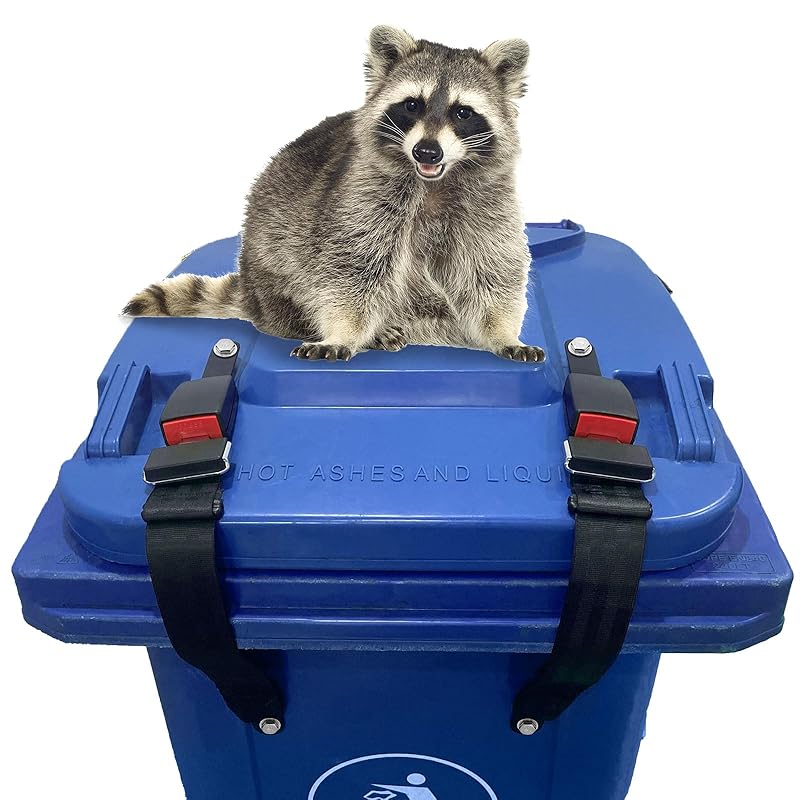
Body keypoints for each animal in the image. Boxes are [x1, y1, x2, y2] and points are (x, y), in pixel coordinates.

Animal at [124, 26, 544, 364]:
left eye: (462, 112)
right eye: (412, 105)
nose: (427, 152)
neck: (432, 183)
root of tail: (252, 291)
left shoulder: (488, 203)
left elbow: (491, 270)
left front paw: (502, 333)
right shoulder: (360, 196)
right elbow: (350, 269)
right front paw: (345, 331)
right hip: (272, 268)